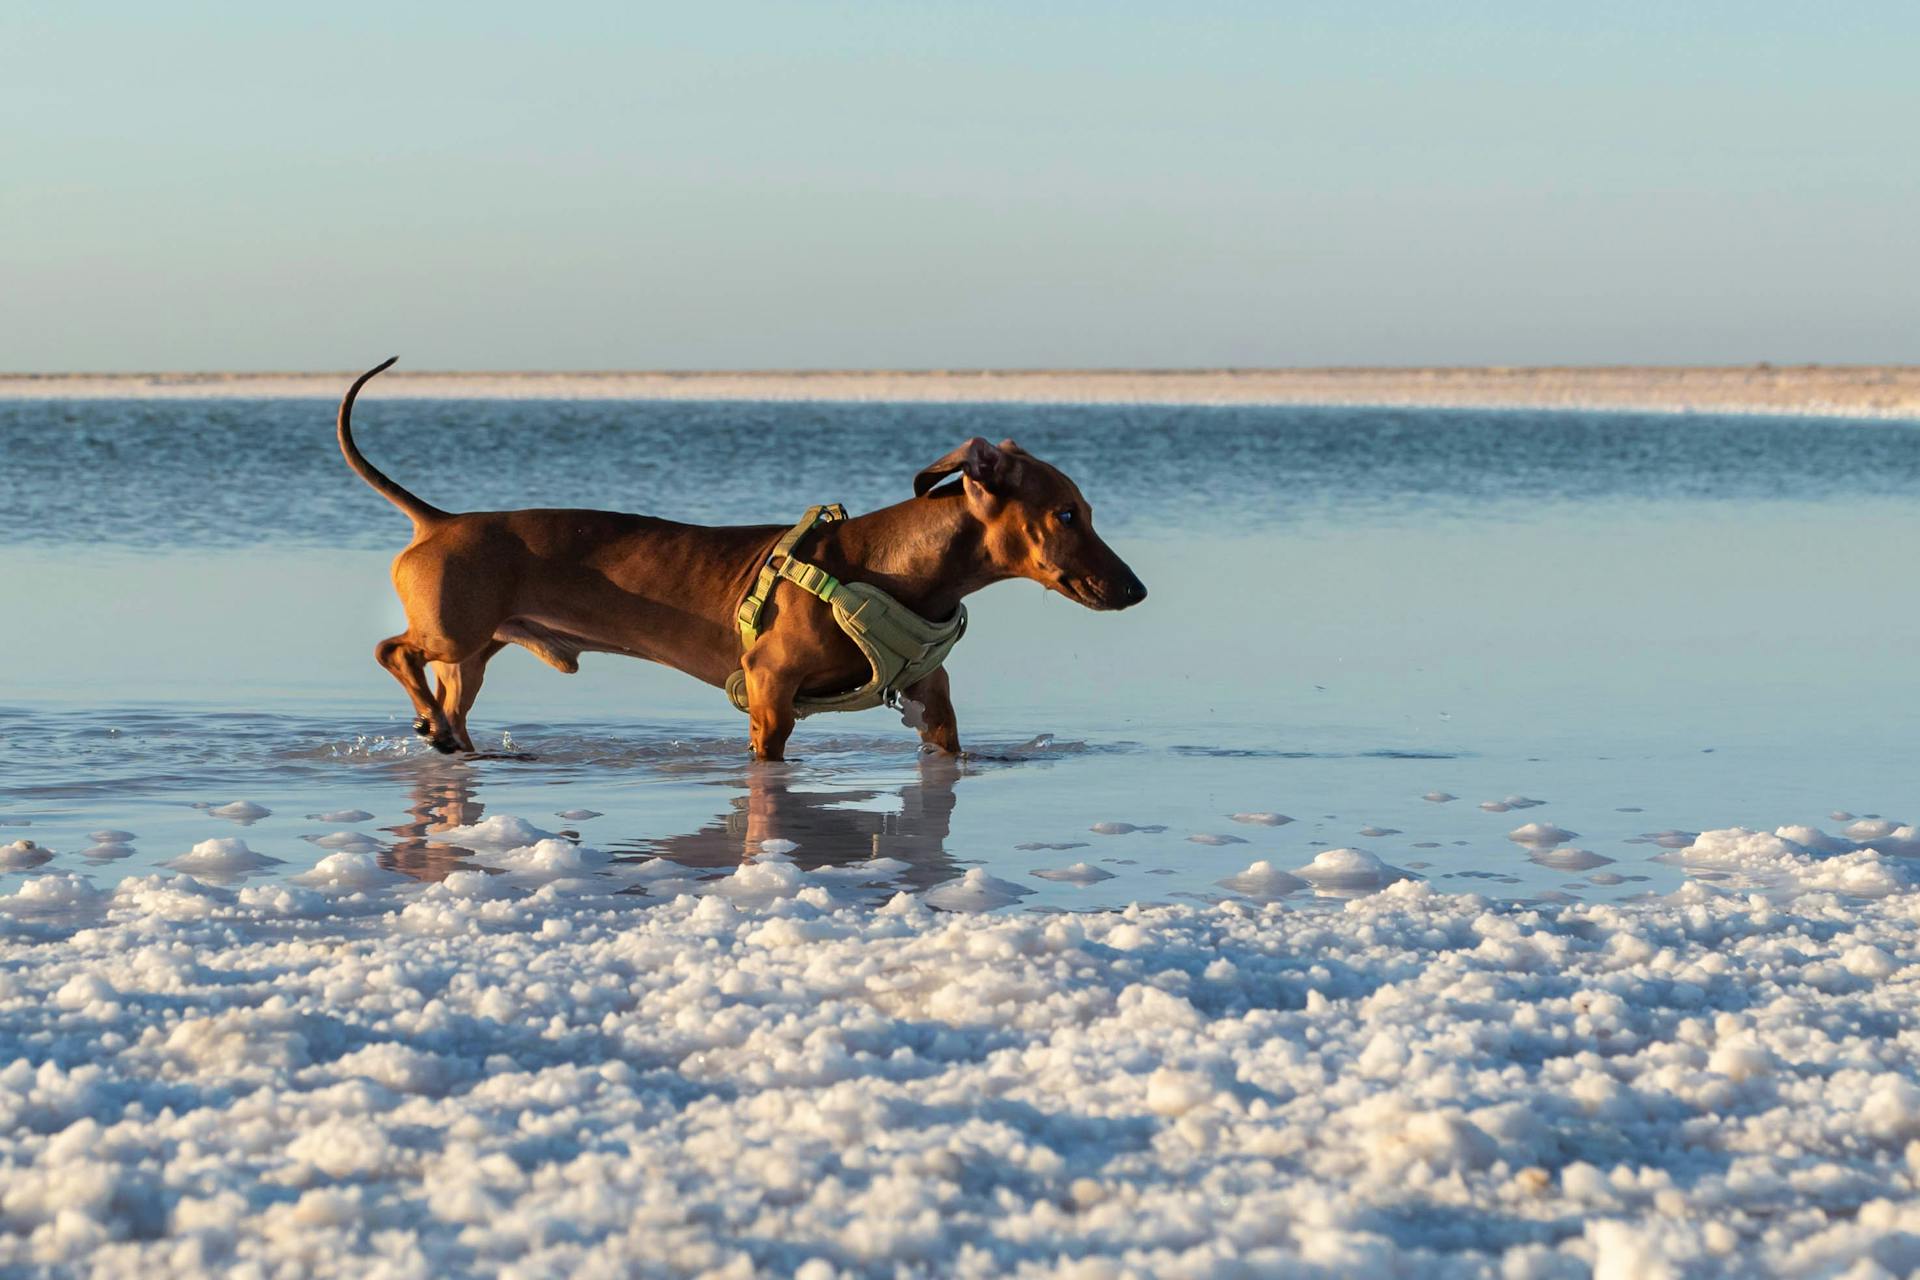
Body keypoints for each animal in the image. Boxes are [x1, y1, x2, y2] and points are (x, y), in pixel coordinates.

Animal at [334, 358, 1136, 759]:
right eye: (1067, 513)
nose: (1137, 591)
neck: (891, 568)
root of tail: (440, 521)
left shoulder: (931, 698)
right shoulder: (771, 689)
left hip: (472, 654)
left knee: (447, 695)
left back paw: (450, 737)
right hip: (452, 632)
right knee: (389, 650)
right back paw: (430, 724)